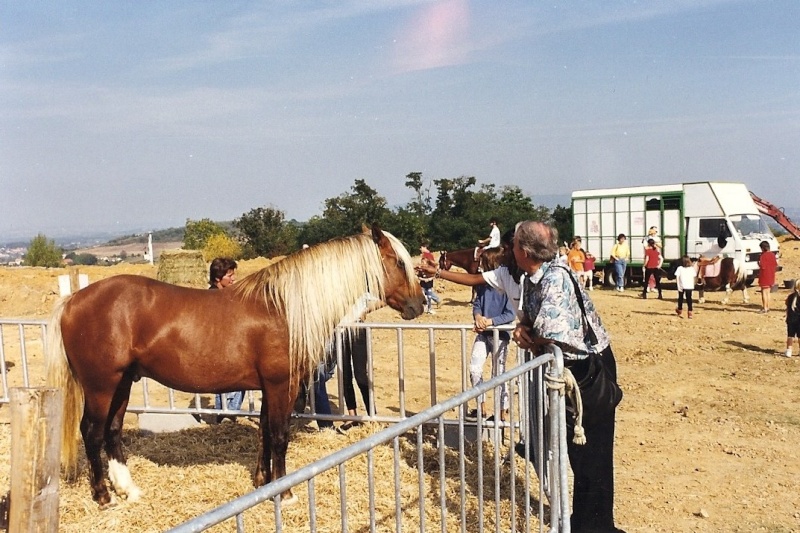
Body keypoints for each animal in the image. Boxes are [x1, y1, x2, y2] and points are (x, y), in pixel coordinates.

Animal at [47, 225, 428, 508]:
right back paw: (103, 496)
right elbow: (278, 435)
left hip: (123, 383)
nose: (419, 304)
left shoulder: (269, 387)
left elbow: (264, 432)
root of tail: (73, 300)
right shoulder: (281, 384)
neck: (284, 307)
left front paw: (263, 482)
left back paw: (129, 490)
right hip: (101, 386)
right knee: (92, 431)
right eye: (398, 262)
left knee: (113, 431)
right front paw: (285, 493)